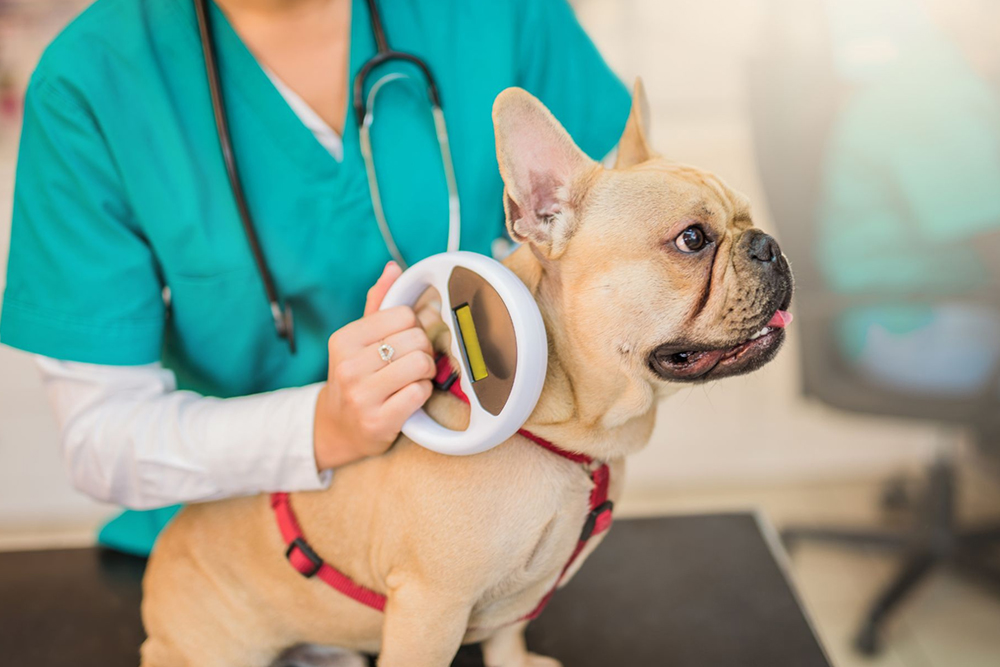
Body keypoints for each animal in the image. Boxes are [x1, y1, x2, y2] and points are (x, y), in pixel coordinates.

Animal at [143, 82, 796, 667]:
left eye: (748, 216)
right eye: (693, 239)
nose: (769, 244)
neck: (568, 432)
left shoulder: (514, 604)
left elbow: (508, 639)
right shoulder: (429, 610)